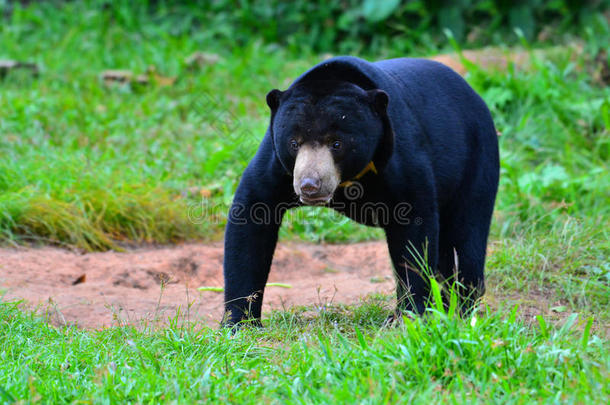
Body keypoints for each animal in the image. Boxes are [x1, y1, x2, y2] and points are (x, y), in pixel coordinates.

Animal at [221, 56, 496, 326]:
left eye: (337, 143)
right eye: (294, 143)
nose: (310, 185)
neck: (350, 178)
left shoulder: (401, 154)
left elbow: (414, 231)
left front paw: (408, 315)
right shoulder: (277, 164)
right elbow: (253, 214)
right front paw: (239, 322)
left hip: (475, 160)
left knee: (466, 234)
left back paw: (462, 305)